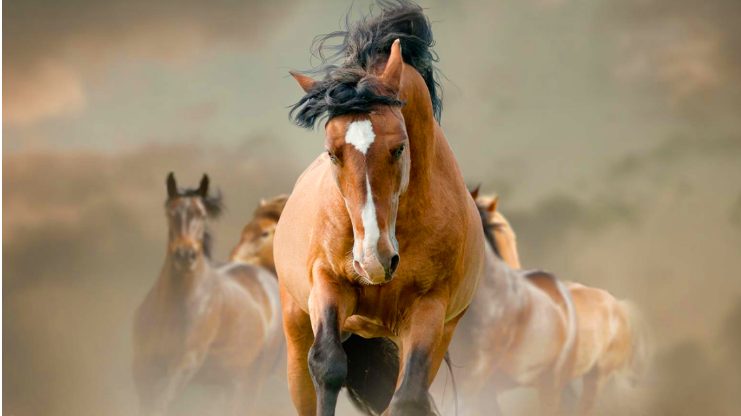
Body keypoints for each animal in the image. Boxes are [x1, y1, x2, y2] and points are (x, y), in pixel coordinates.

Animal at [132, 173, 282, 416]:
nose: (185, 255)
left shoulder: (185, 364)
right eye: (171, 212)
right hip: (225, 383)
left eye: (202, 215)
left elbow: (164, 402)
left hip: (251, 381)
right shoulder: (142, 369)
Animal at [274, 2, 488, 415]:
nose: (374, 259)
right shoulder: (327, 282)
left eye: (399, 147)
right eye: (332, 153)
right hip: (296, 326)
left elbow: (407, 396)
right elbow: (328, 365)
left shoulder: (428, 310)